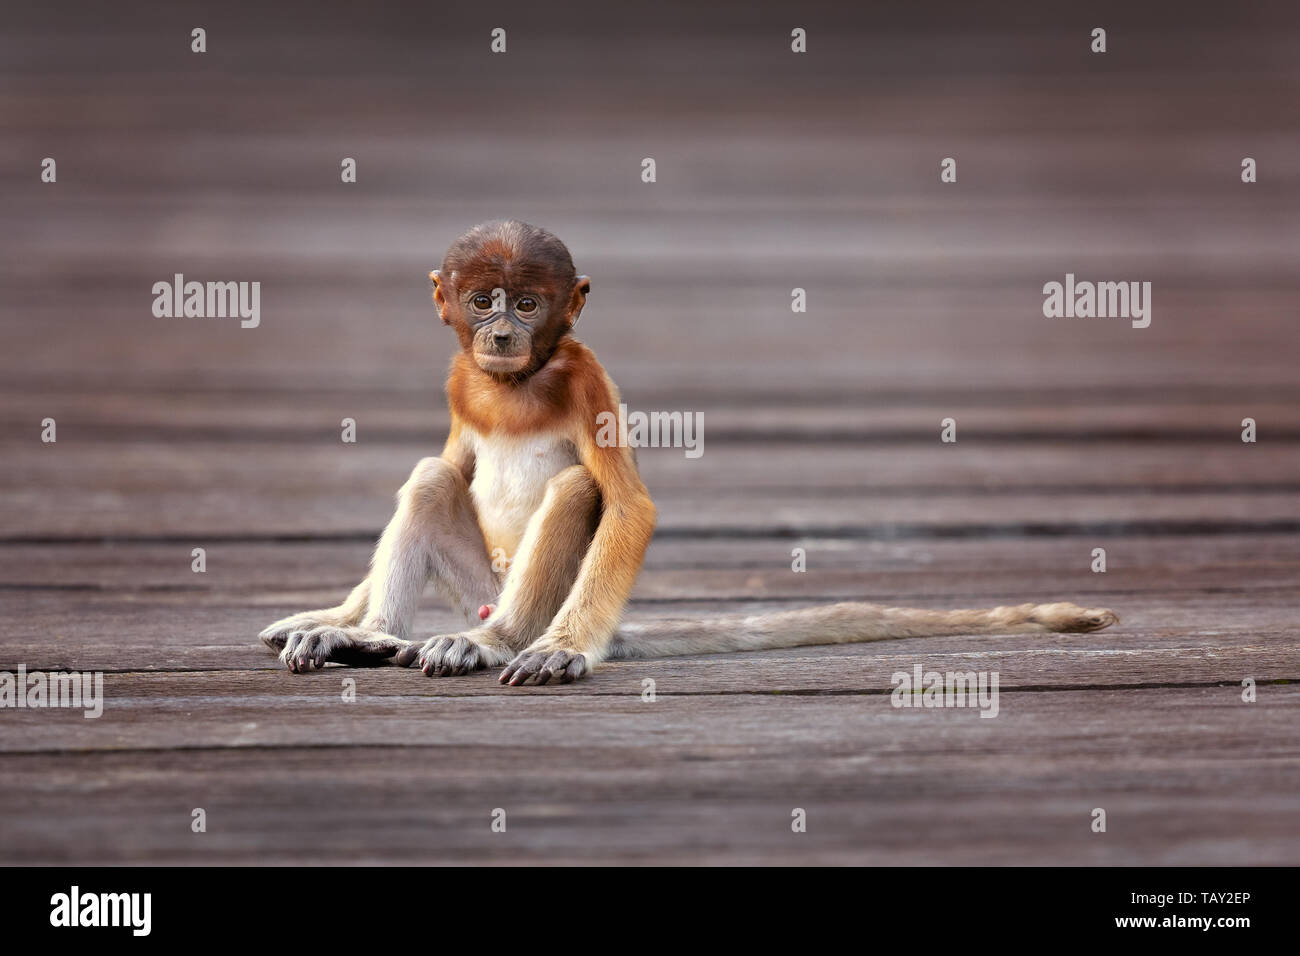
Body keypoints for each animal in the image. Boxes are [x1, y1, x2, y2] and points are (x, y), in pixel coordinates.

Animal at [261, 222, 1118, 686]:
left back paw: (493, 642)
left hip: (533, 596)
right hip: (480, 580)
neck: (517, 384)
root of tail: (496, 604)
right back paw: (371, 635)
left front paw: (563, 654)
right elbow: (454, 461)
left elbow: (626, 503)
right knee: (433, 476)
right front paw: (333, 618)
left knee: (574, 491)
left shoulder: (585, 375)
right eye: (482, 301)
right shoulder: (460, 385)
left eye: (528, 303)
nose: (501, 336)